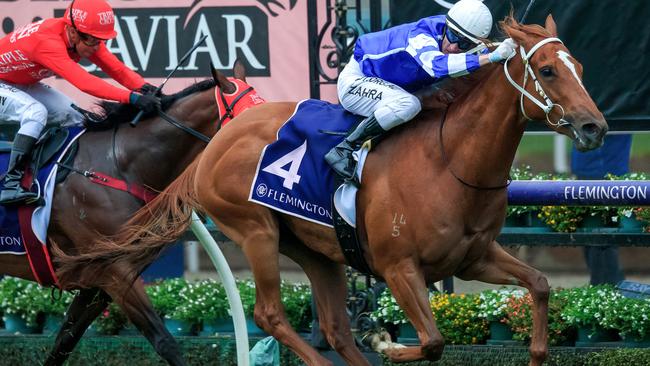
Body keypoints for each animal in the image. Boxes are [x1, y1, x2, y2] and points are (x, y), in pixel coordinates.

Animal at [72, 16, 608, 366]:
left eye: (581, 66)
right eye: (548, 71)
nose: (594, 127)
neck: (450, 160)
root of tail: (219, 140)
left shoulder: (473, 257)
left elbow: (539, 285)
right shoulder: (398, 267)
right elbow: (433, 341)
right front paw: (386, 342)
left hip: (317, 249)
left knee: (334, 327)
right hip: (257, 232)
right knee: (271, 314)